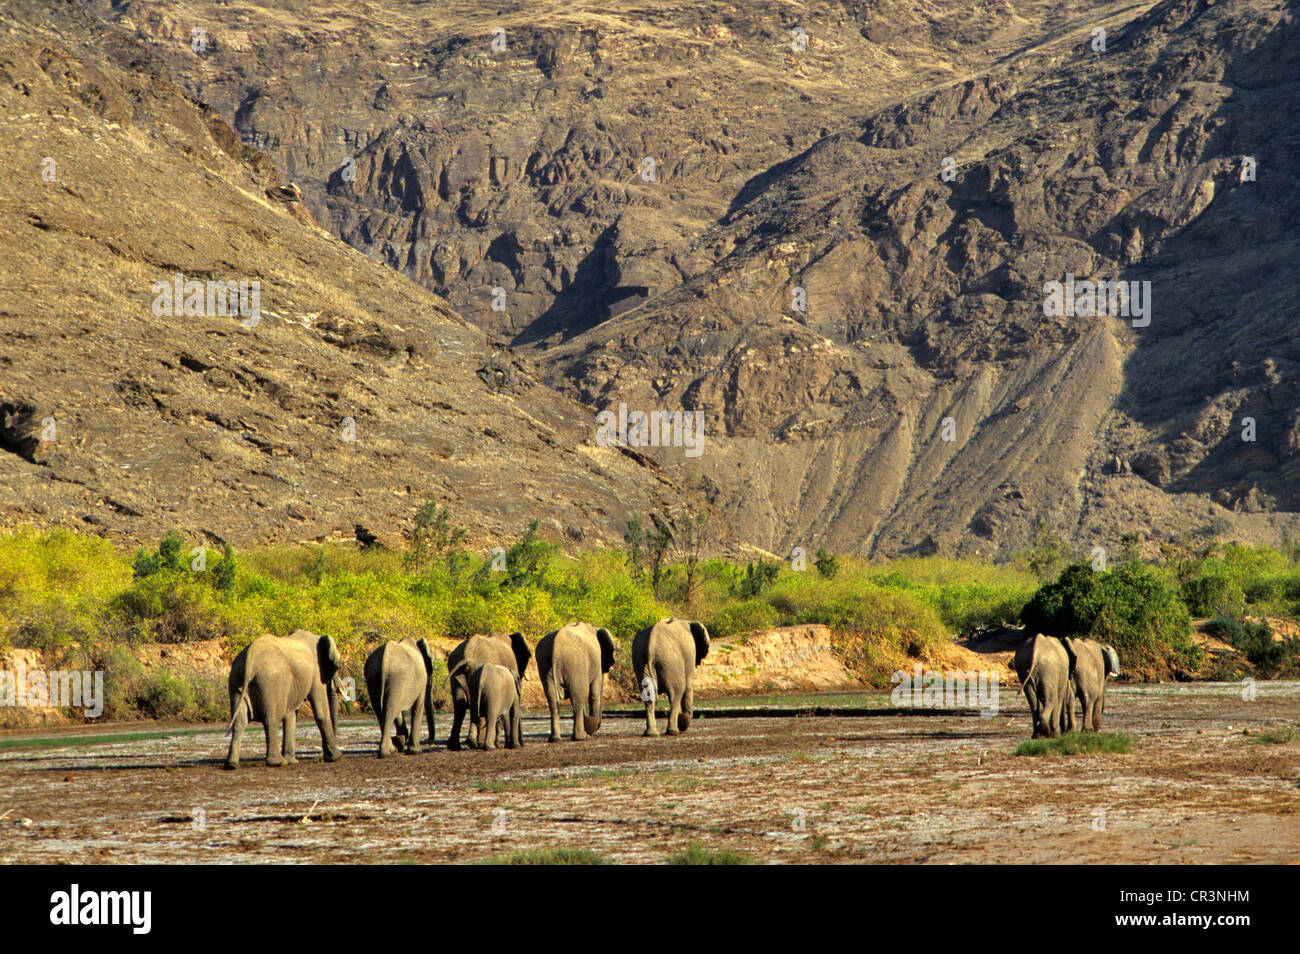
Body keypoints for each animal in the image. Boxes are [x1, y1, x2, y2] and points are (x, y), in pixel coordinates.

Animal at [224, 631, 343, 774]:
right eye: (336, 667)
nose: (320, 757)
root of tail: (250, 659)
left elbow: (290, 714)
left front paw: (292, 761)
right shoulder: (316, 671)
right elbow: (320, 711)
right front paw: (336, 757)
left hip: (235, 680)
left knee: (240, 722)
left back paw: (232, 765)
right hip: (270, 681)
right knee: (271, 719)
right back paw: (278, 762)